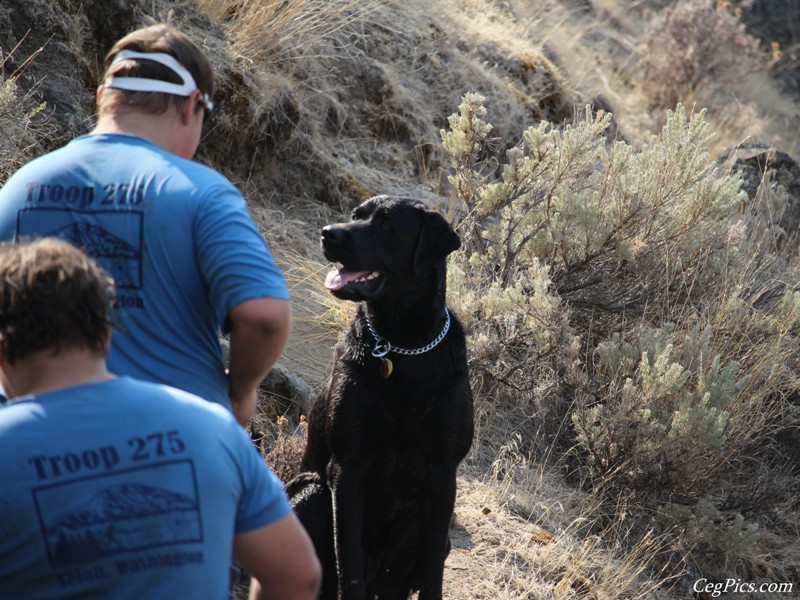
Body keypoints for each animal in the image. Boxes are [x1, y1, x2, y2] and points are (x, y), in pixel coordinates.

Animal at [290, 195, 472, 596]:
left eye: (387, 224)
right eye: (356, 215)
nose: (329, 233)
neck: (402, 346)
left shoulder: (442, 478)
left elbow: (433, 574)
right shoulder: (348, 469)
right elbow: (350, 565)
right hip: (313, 493)